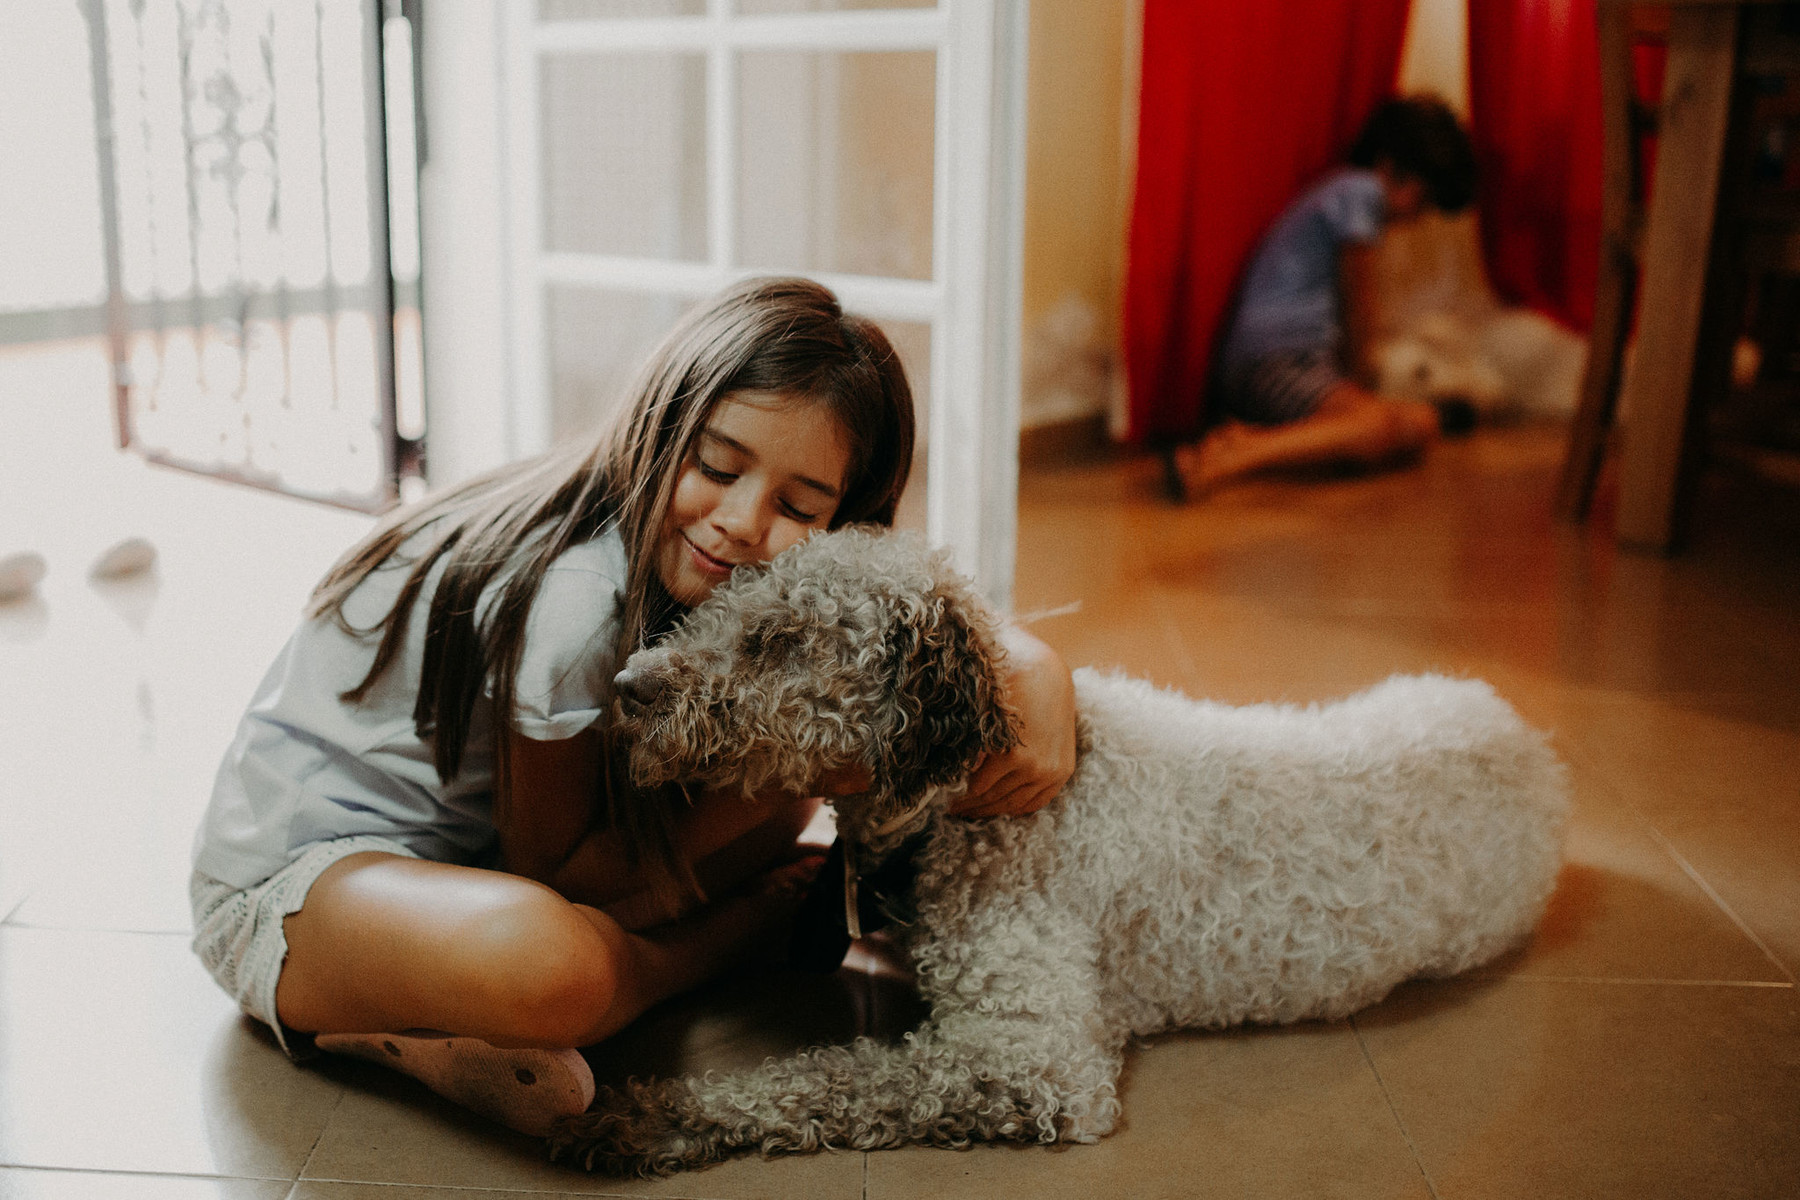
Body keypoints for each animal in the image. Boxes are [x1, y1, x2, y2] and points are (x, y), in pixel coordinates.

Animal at [554, 528, 1569, 1180]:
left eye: (783, 637)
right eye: (728, 600)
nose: (630, 684)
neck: (963, 809)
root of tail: (1531, 741)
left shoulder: (1034, 1055)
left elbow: (833, 1077)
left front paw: (655, 1113)